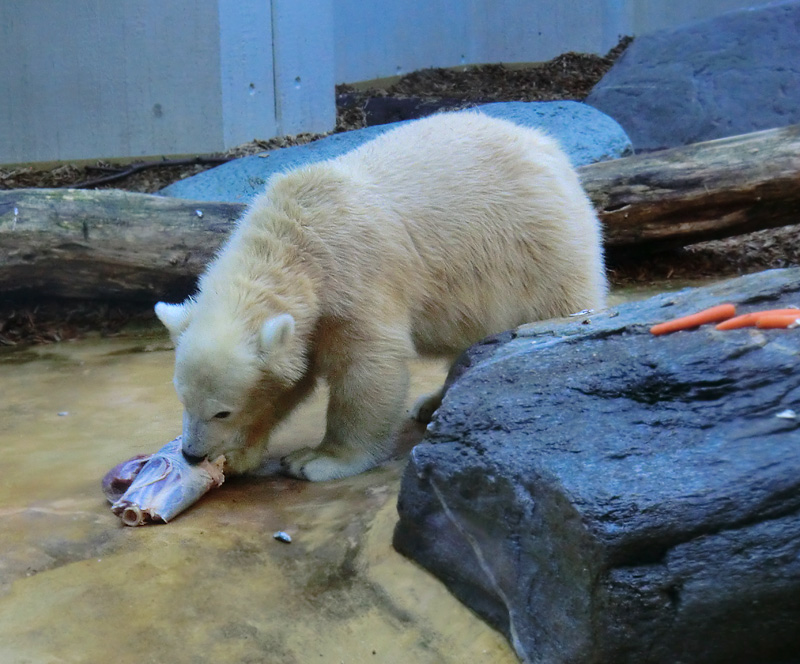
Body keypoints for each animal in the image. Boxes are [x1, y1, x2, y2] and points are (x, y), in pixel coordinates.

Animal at [156, 111, 608, 480]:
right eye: (182, 399)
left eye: (221, 410)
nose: (191, 454)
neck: (293, 237)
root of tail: (547, 146)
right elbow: (290, 381)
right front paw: (239, 455)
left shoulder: (355, 277)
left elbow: (368, 367)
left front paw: (317, 460)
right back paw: (433, 403)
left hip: (539, 249)